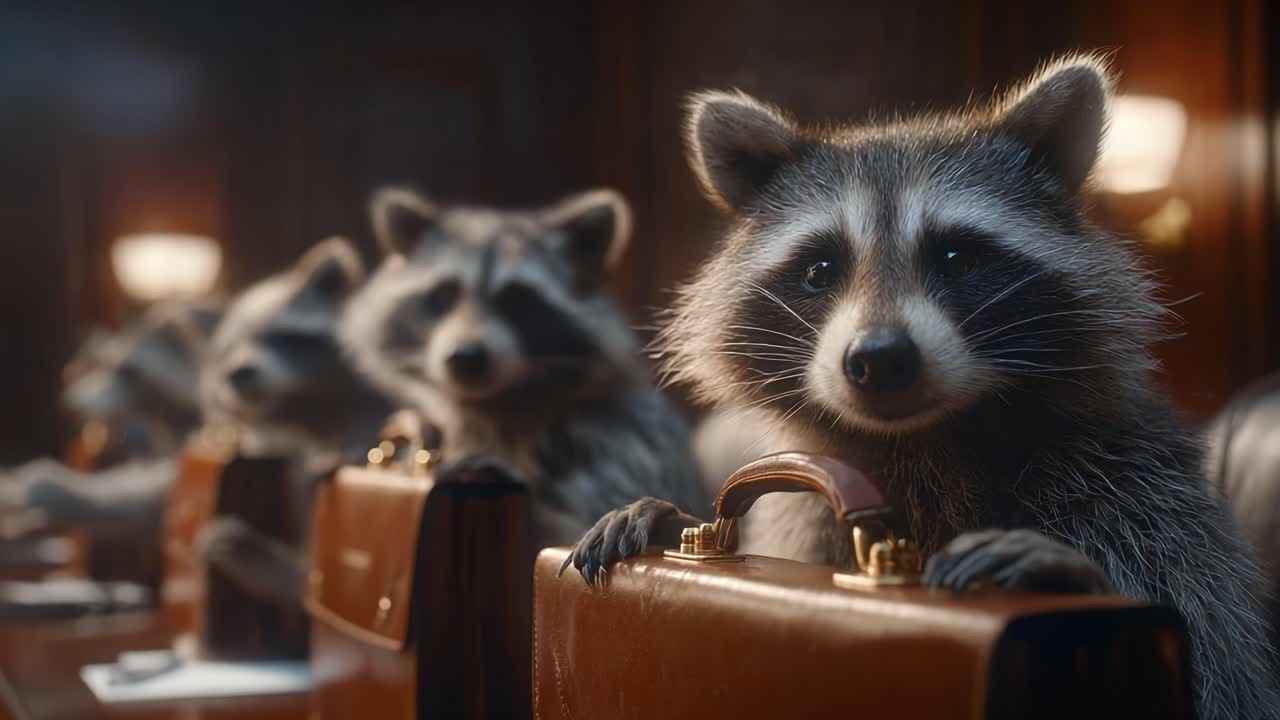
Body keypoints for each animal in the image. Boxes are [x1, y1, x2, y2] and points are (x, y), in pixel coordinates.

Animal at [567, 57, 1280, 719]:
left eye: (956, 258)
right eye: (820, 269)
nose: (879, 359)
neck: (925, 440)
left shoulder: (1138, 492)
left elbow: (1223, 673)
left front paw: (1079, 584)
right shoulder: (807, 519)